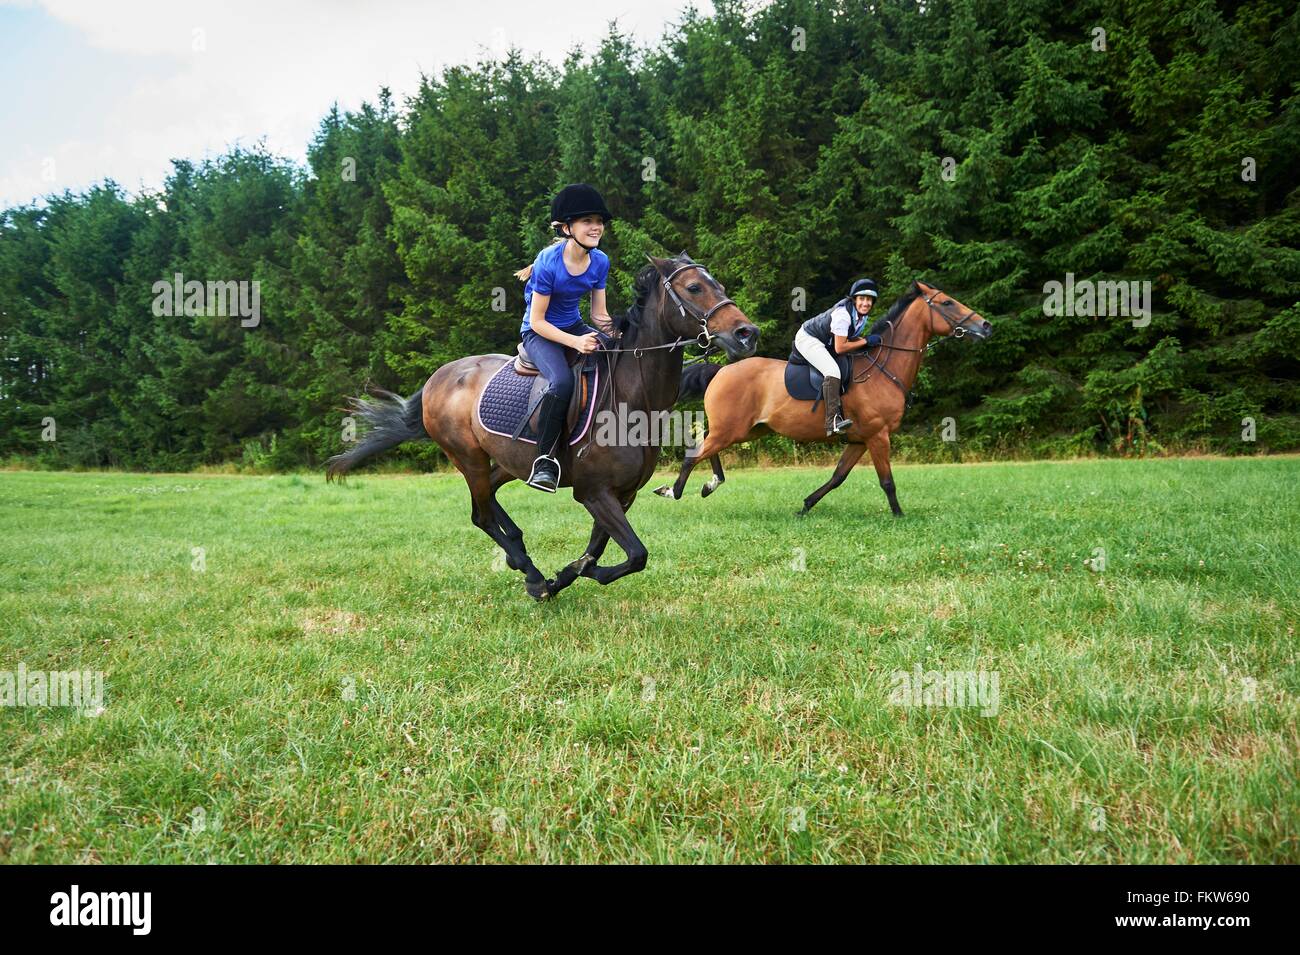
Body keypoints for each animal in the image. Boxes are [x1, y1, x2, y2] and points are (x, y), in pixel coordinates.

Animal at [321, 254, 759, 597]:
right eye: (694, 287)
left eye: (718, 284)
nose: (747, 334)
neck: (632, 398)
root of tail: (437, 378)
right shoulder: (593, 492)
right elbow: (636, 553)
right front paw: (567, 576)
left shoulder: (623, 494)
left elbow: (602, 548)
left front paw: (568, 574)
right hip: (468, 457)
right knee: (481, 515)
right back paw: (528, 572)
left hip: (508, 462)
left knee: (490, 500)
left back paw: (525, 558)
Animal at [655, 281, 987, 514]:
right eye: (947, 302)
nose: (985, 325)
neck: (884, 368)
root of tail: (721, 371)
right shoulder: (878, 435)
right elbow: (887, 481)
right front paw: (899, 515)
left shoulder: (860, 439)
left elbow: (838, 477)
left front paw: (805, 505)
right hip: (731, 429)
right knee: (694, 454)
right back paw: (672, 491)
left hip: (744, 430)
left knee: (705, 450)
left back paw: (710, 485)